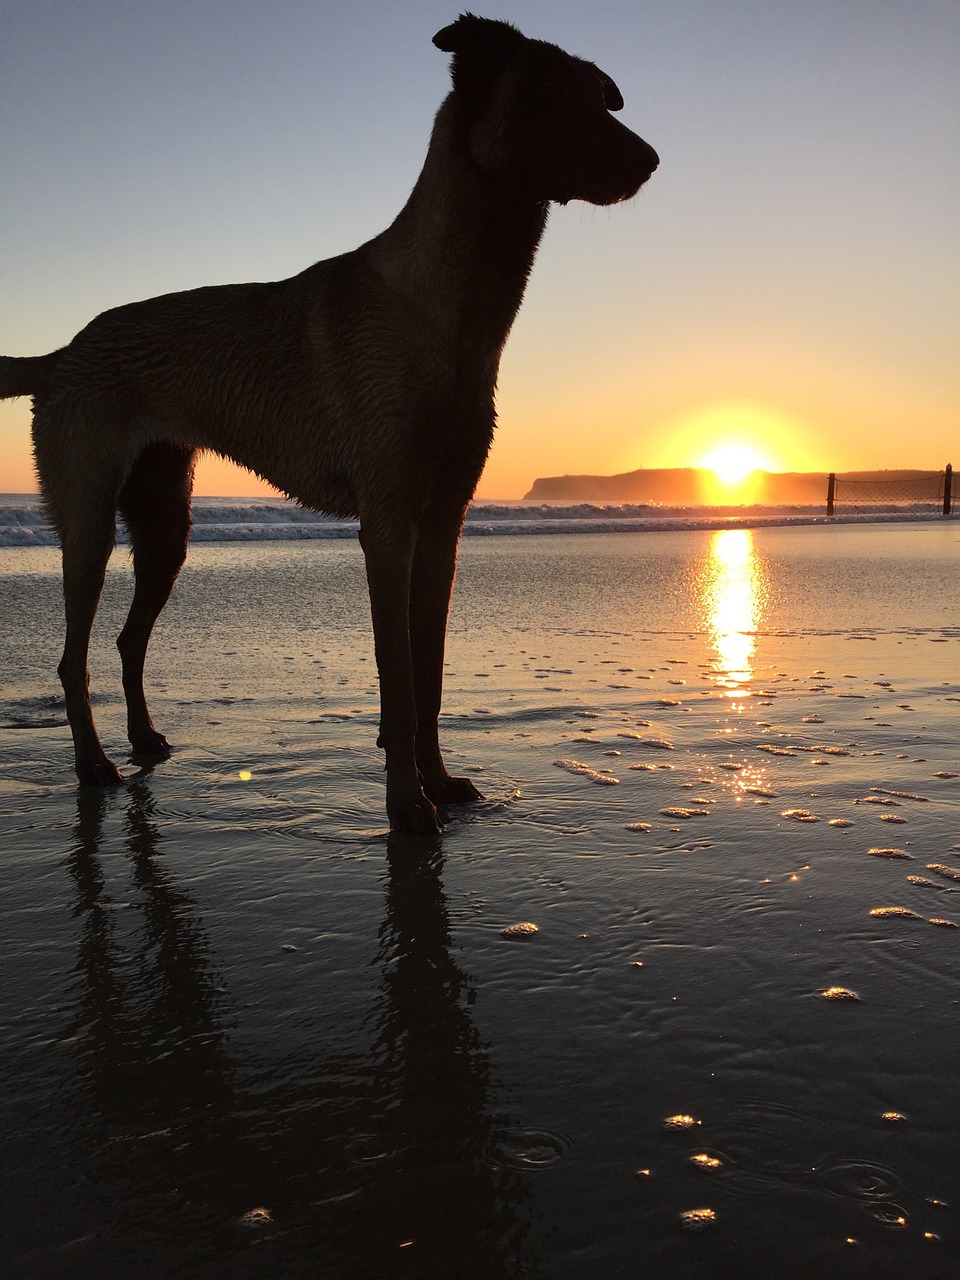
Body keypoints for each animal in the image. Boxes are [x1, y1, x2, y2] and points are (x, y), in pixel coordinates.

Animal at [0, 15, 660, 834]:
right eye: (547, 94)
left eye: (599, 95)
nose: (650, 159)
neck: (446, 304)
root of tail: (62, 353)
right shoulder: (388, 521)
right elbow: (399, 680)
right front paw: (408, 804)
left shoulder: (442, 524)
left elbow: (429, 672)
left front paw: (440, 782)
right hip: (88, 518)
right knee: (73, 655)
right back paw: (94, 765)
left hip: (164, 526)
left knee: (126, 638)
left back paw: (146, 741)